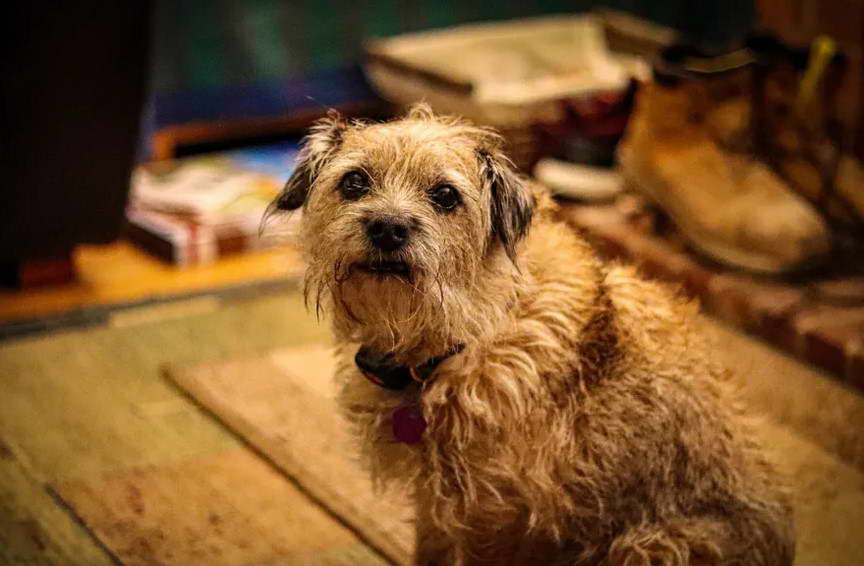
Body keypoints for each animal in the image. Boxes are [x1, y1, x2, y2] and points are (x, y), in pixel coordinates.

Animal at [276, 104, 796, 564]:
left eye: (445, 195)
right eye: (354, 181)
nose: (387, 226)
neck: (462, 338)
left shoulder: (496, 516)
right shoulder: (439, 508)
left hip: (655, 544)